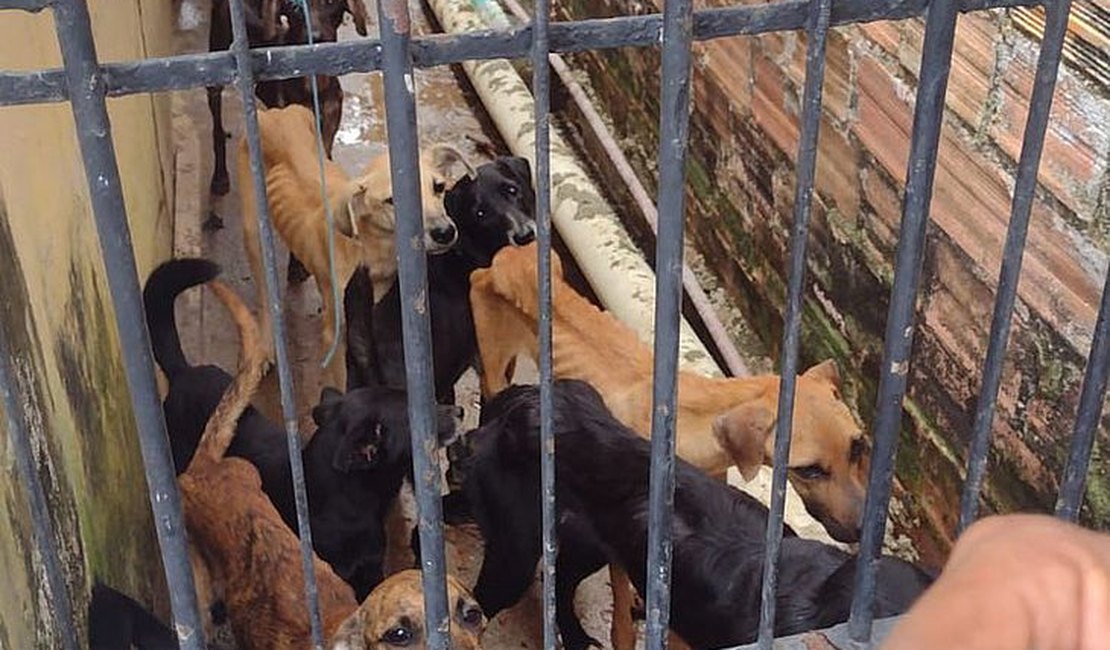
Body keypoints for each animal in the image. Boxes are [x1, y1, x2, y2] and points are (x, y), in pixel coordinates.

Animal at [240, 104, 470, 388]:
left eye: (438, 187)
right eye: (392, 201)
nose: (445, 233)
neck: (371, 250)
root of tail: (275, 112)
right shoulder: (336, 338)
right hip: (253, 234)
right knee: (264, 298)